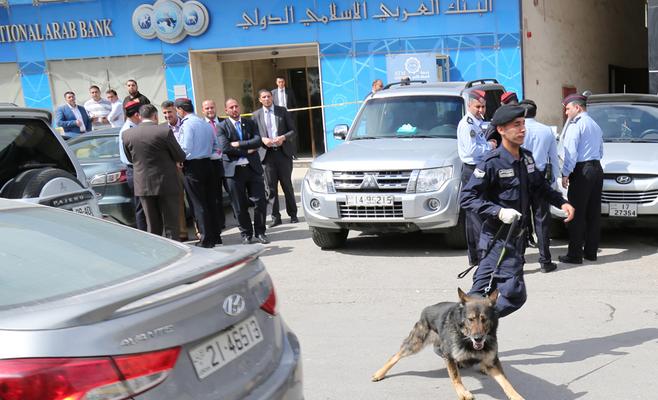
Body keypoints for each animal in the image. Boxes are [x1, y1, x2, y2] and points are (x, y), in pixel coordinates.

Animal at [371, 288, 524, 400]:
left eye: (484, 319)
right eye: (470, 319)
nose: (478, 338)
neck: (466, 339)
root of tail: (427, 308)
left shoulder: (492, 362)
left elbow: (506, 383)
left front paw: (516, 396)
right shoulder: (449, 357)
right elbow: (456, 377)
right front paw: (462, 393)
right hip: (416, 343)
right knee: (395, 355)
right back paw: (380, 373)